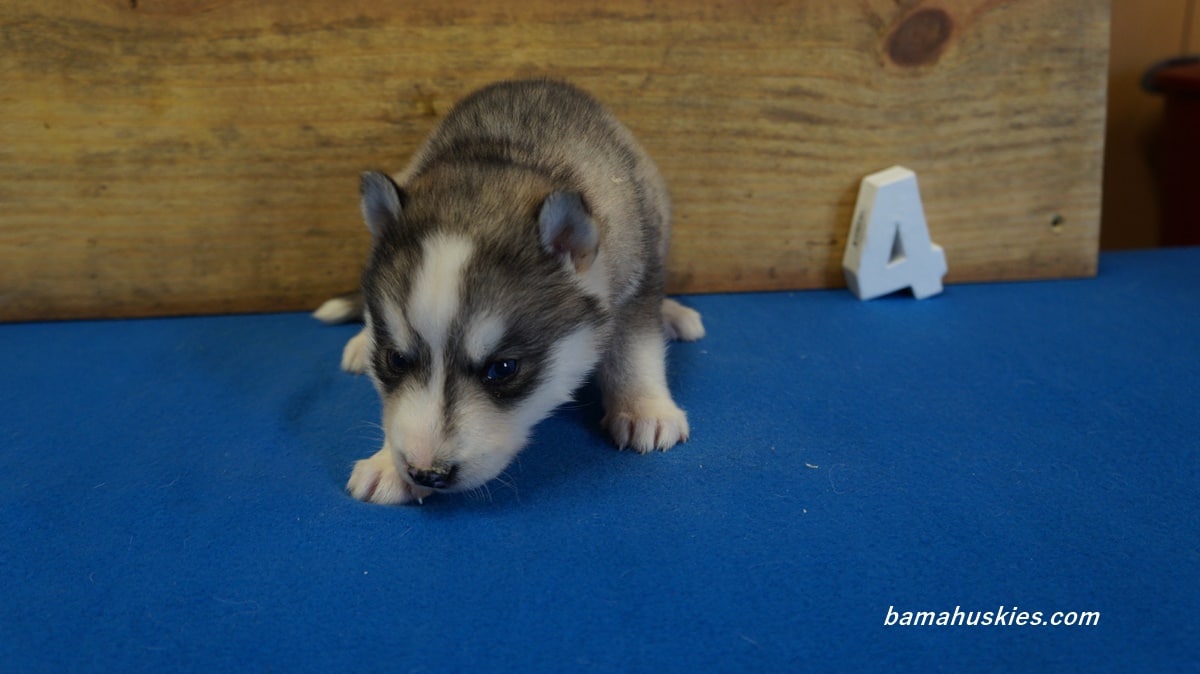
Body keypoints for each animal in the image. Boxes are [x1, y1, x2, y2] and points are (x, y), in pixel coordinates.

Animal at [314, 79, 704, 505]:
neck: (505, 157)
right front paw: (387, 463)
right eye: (396, 359)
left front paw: (643, 409)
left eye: (503, 369)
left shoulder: (637, 272)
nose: (426, 473)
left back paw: (674, 315)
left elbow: (634, 349)